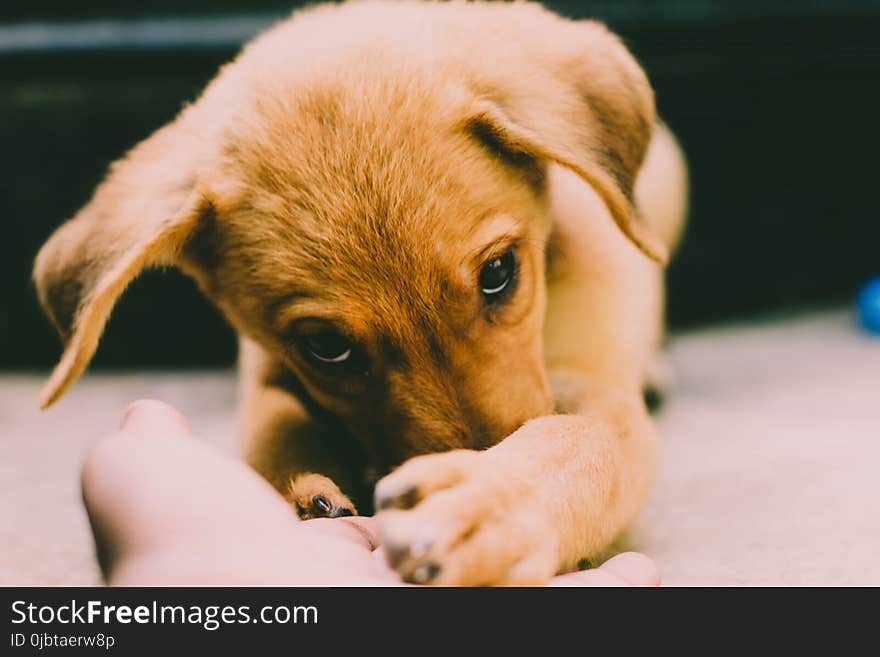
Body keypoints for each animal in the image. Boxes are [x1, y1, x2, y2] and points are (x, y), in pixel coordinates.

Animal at [32, 0, 688, 584]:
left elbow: (578, 437)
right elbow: (276, 434)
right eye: (325, 346)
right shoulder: (270, 376)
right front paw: (308, 498)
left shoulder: (594, 381)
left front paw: (487, 506)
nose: (478, 456)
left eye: (499, 272)